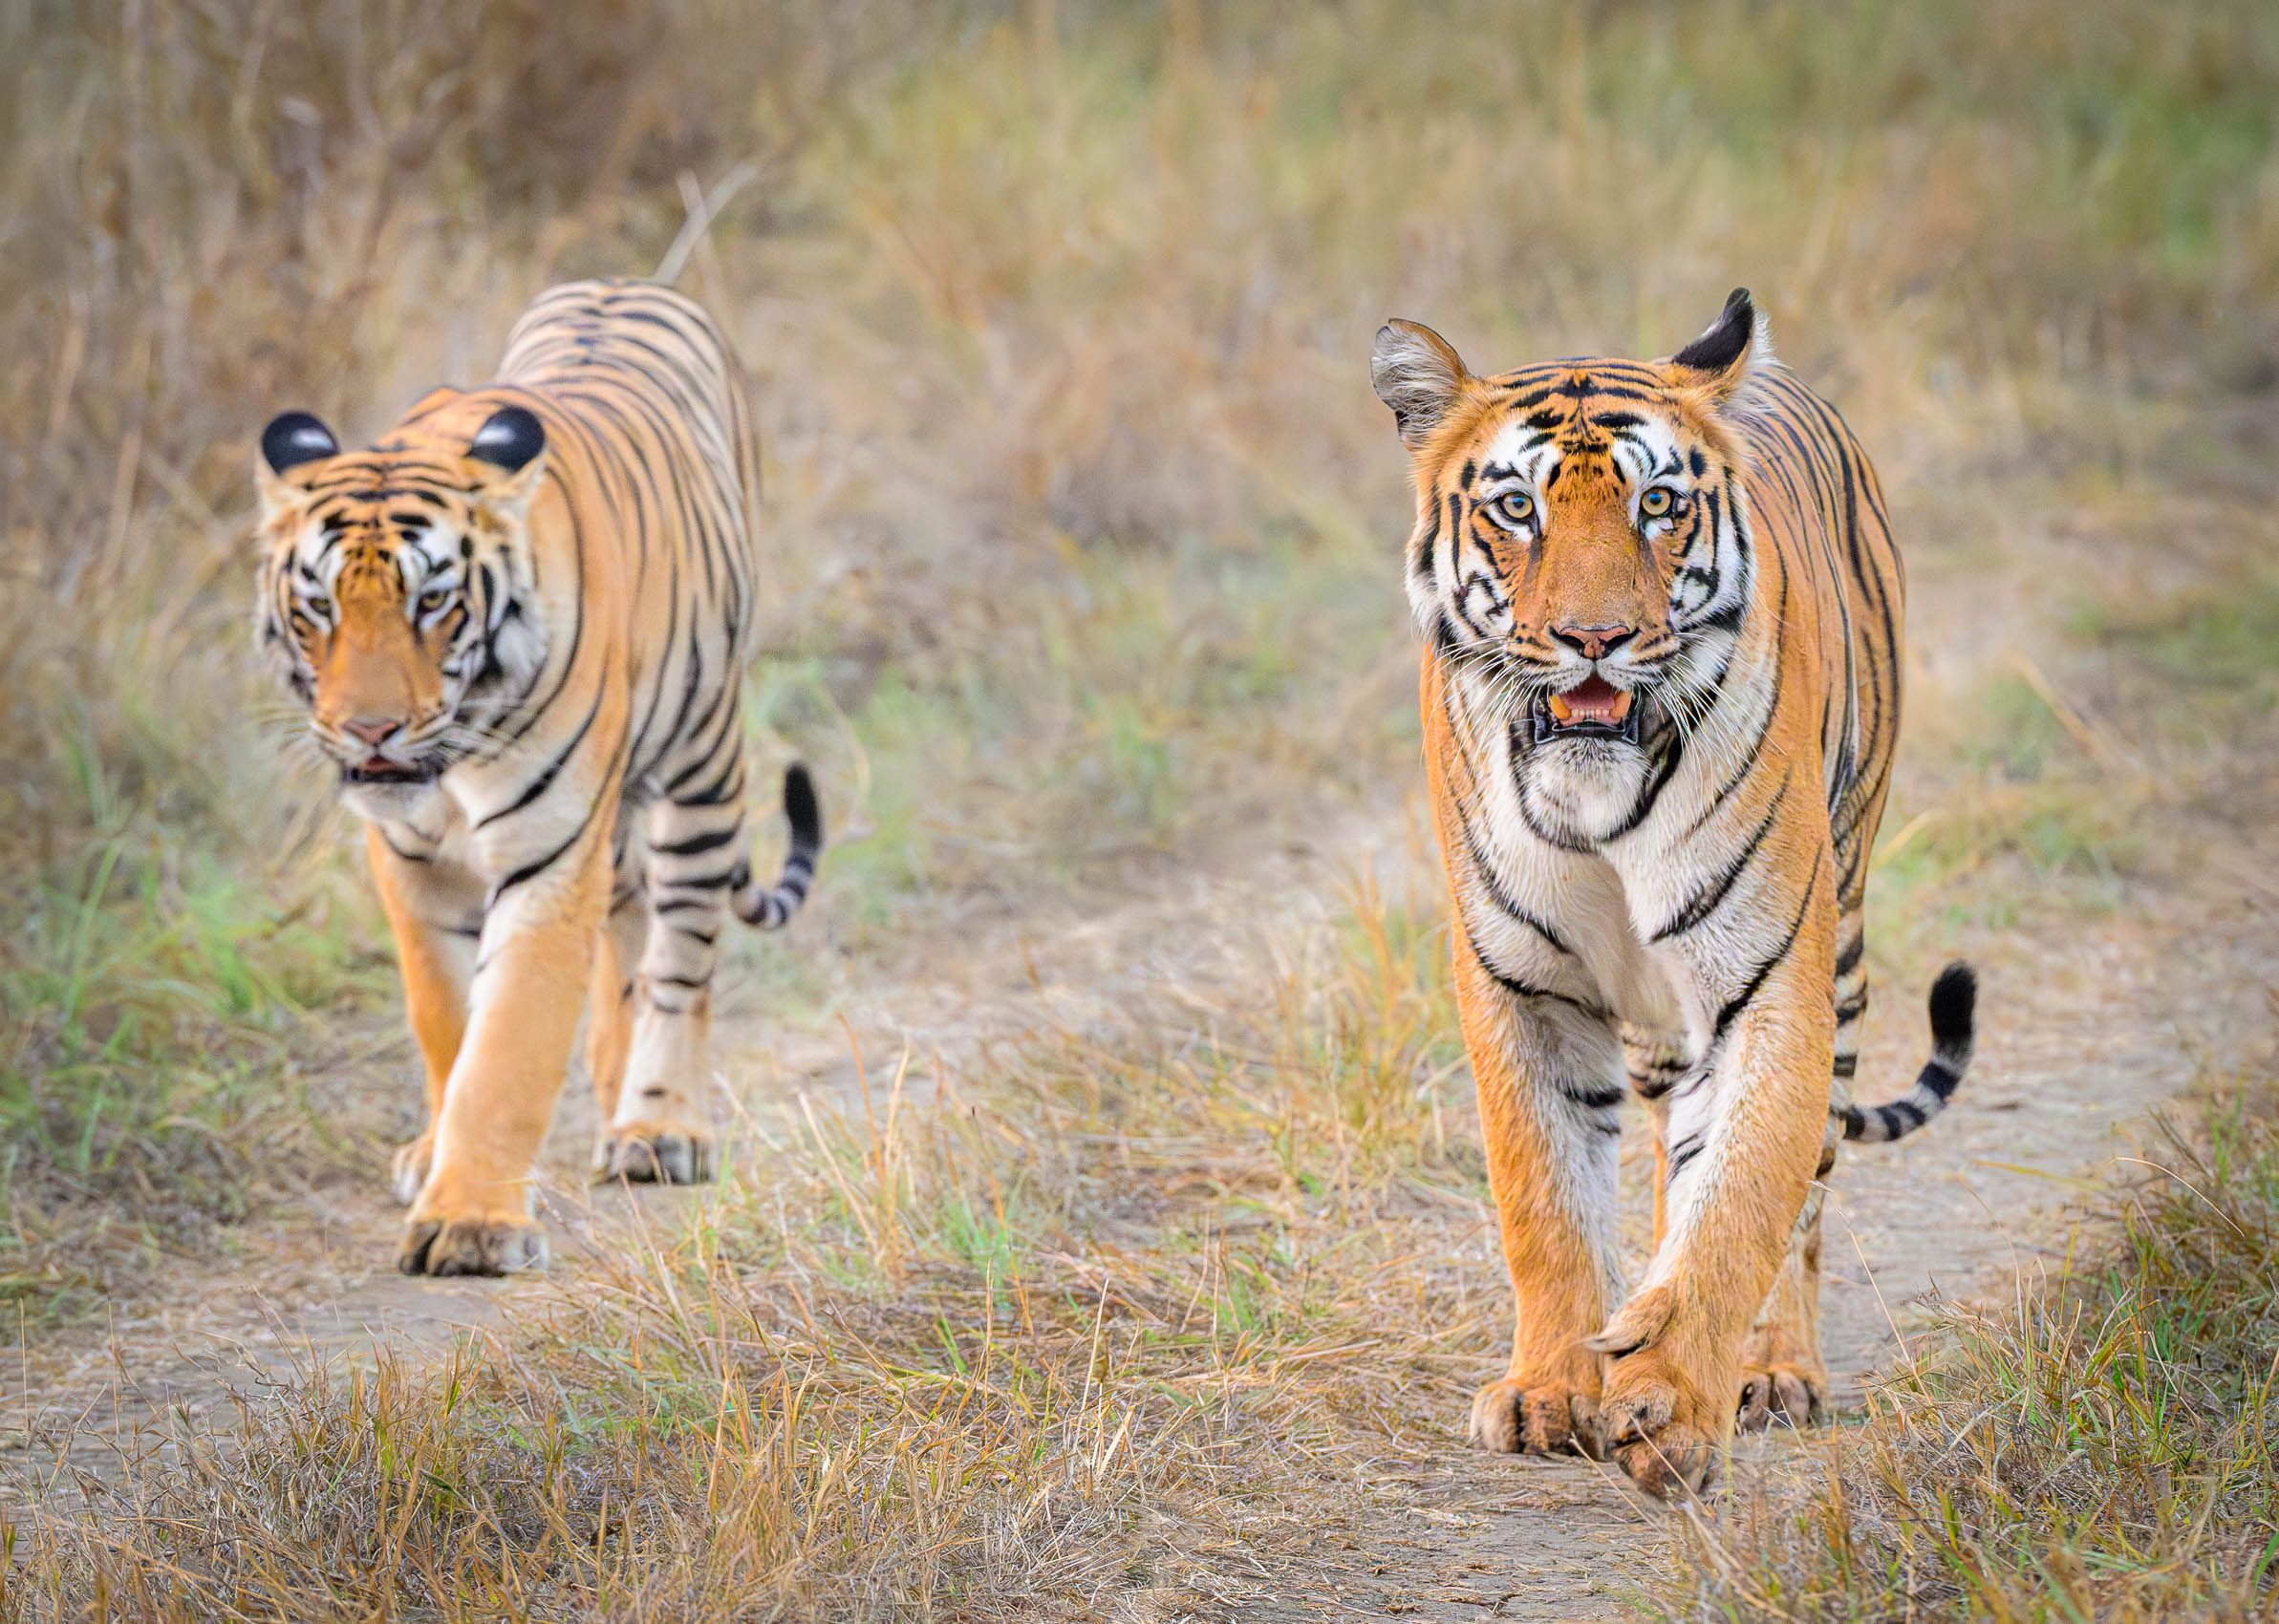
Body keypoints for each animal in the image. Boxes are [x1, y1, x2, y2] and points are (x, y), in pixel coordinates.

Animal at [254, 279, 822, 1278]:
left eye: (432, 602)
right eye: (318, 604)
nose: (369, 729)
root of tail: (620, 281)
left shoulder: (548, 854)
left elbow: (510, 1042)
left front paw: (472, 1225)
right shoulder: (412, 862)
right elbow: (446, 1022)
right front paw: (439, 1159)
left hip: (702, 766)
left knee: (681, 958)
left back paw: (658, 1126)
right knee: (629, 929)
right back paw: (613, 1082)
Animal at [1370, 289, 1976, 1498]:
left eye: (1657, 504)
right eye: (1517, 507)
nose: (1593, 638)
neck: (1598, 794)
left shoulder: (1770, 979)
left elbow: (1742, 1199)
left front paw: (1676, 1406)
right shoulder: (1521, 983)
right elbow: (1546, 1197)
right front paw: (1549, 1388)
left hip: (1839, 941)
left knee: (1799, 1183)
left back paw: (1771, 1365)